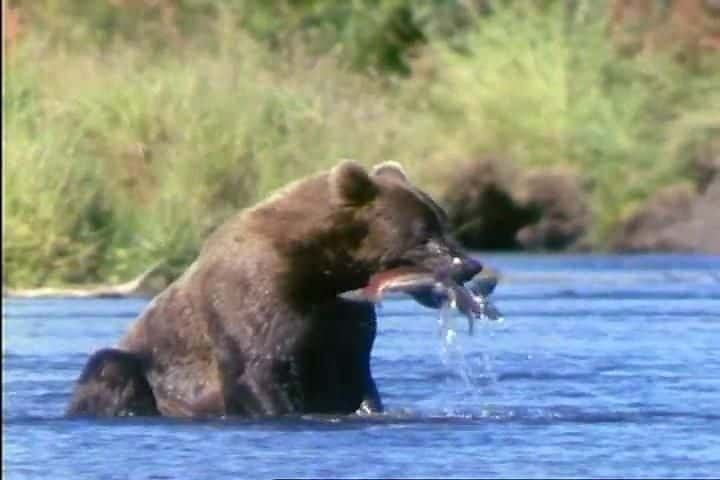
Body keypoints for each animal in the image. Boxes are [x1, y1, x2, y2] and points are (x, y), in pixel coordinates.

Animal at [66, 160, 484, 416]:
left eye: (444, 221)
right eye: (423, 234)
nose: (470, 265)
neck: (325, 269)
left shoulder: (340, 317)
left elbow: (353, 376)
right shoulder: (253, 293)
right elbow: (257, 368)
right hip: (147, 369)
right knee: (109, 367)